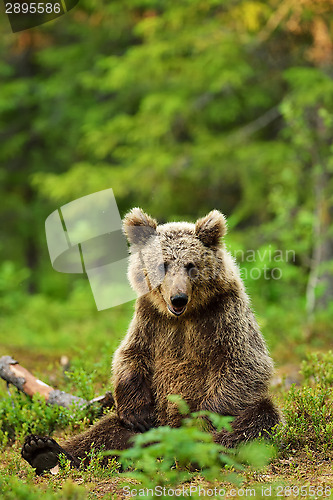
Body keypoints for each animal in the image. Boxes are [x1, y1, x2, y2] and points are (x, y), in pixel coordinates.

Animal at [22, 209, 278, 474]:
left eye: (190, 265)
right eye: (162, 265)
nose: (178, 297)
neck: (185, 316)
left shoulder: (224, 315)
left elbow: (243, 364)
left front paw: (202, 421)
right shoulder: (150, 319)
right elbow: (131, 354)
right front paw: (137, 412)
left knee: (257, 417)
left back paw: (201, 450)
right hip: (144, 423)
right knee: (104, 432)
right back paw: (45, 450)